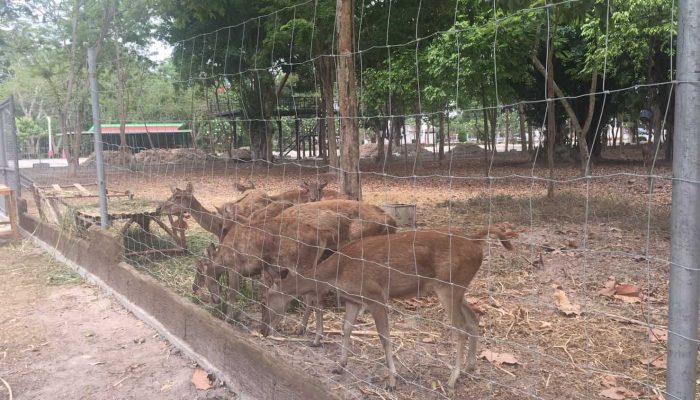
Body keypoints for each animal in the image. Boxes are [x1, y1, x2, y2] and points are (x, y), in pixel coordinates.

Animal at [262, 228, 516, 390]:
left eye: (266, 299)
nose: (263, 330)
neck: (337, 273)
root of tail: (477, 244)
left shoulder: (375, 295)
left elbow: (384, 337)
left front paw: (392, 380)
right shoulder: (354, 299)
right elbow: (346, 328)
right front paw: (340, 366)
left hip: (448, 286)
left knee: (460, 327)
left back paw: (452, 379)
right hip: (459, 289)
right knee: (473, 319)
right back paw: (469, 367)